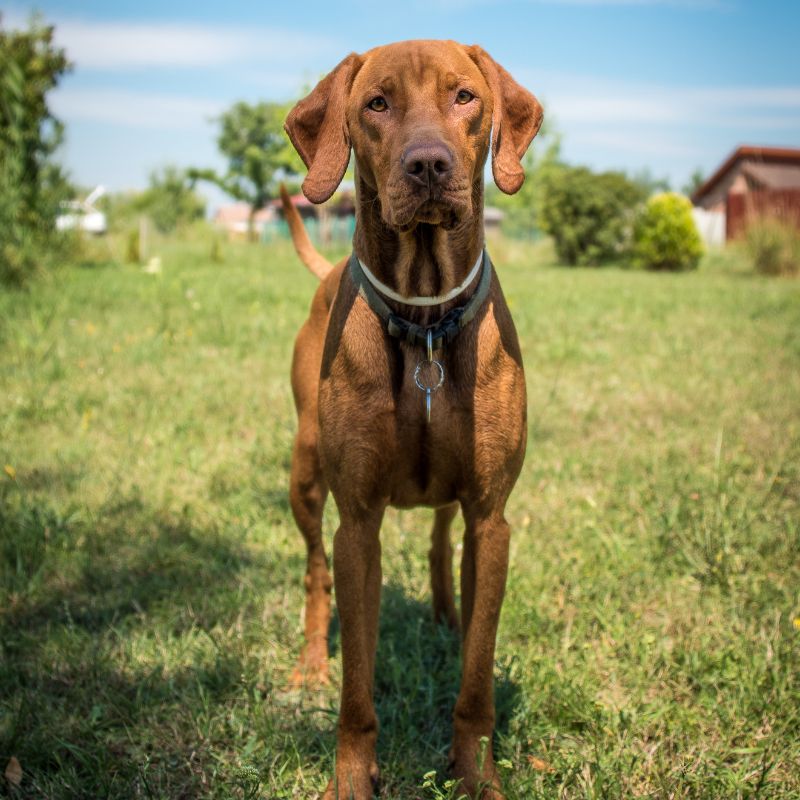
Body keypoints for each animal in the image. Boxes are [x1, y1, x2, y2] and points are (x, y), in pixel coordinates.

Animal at [282, 39, 544, 800]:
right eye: (377, 103)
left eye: (464, 96)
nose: (428, 164)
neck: (425, 316)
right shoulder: (357, 522)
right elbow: (357, 688)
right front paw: (350, 776)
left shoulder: (492, 518)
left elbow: (478, 681)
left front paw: (475, 773)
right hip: (305, 473)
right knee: (314, 573)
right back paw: (310, 664)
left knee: (437, 538)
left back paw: (446, 617)